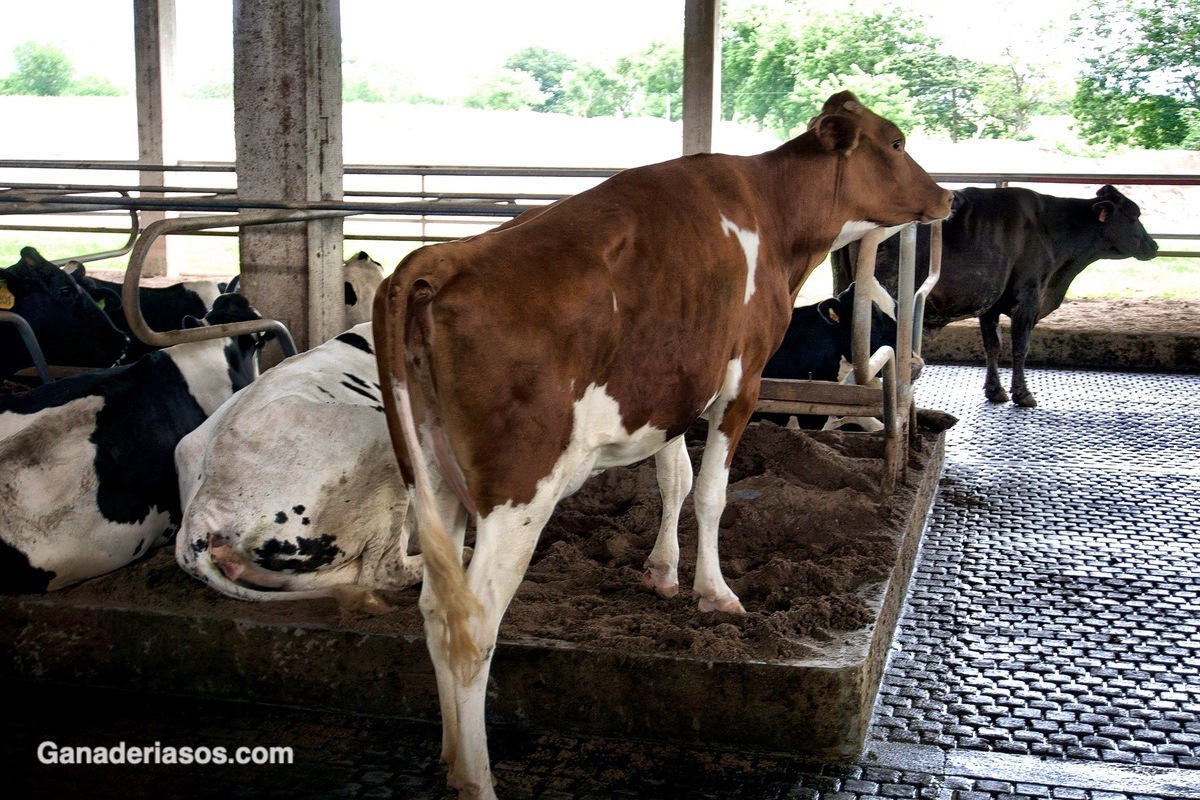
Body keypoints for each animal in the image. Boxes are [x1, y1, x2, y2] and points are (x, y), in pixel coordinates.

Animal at [830, 183, 1156, 407]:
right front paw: (1023, 394)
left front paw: (995, 390)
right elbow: (1020, 346)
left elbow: (993, 345)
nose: (1153, 245)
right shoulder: (1028, 297)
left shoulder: (991, 303)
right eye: (1134, 215)